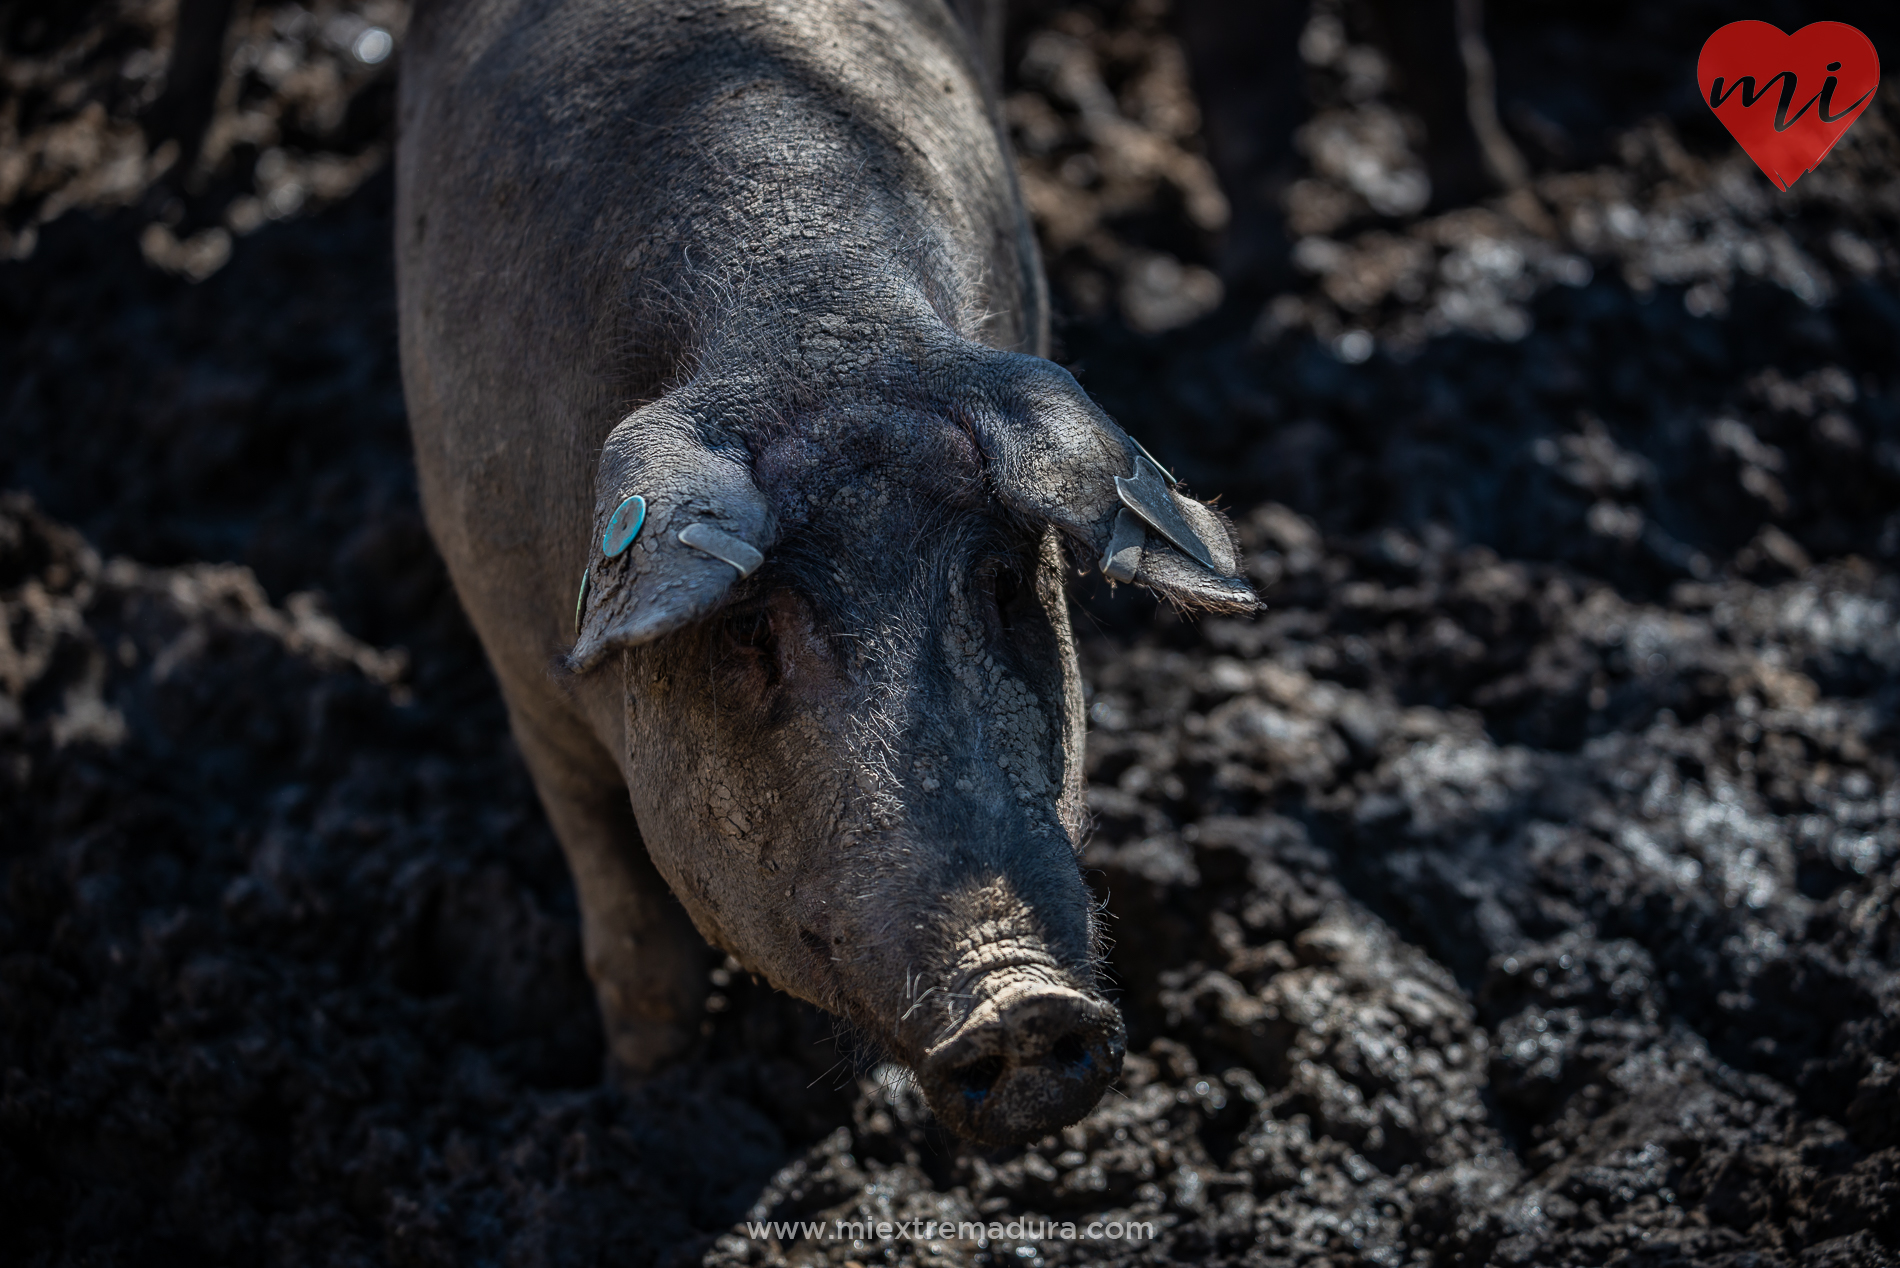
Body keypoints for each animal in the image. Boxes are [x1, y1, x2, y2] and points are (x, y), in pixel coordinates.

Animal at [393, 0, 1254, 1148]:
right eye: (751, 629)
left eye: (1003, 585)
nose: (1026, 1007)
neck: (817, 322)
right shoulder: (524, 672)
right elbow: (636, 945)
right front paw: (644, 1104)